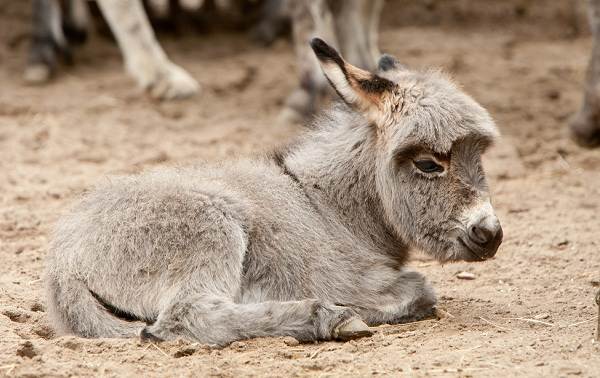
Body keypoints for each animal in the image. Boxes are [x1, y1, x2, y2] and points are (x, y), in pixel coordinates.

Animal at [45, 38, 502, 346]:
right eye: (428, 163)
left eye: (479, 156)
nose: (490, 234)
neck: (328, 208)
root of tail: (63, 263)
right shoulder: (338, 273)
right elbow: (421, 289)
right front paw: (367, 307)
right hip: (209, 230)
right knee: (187, 317)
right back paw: (330, 318)